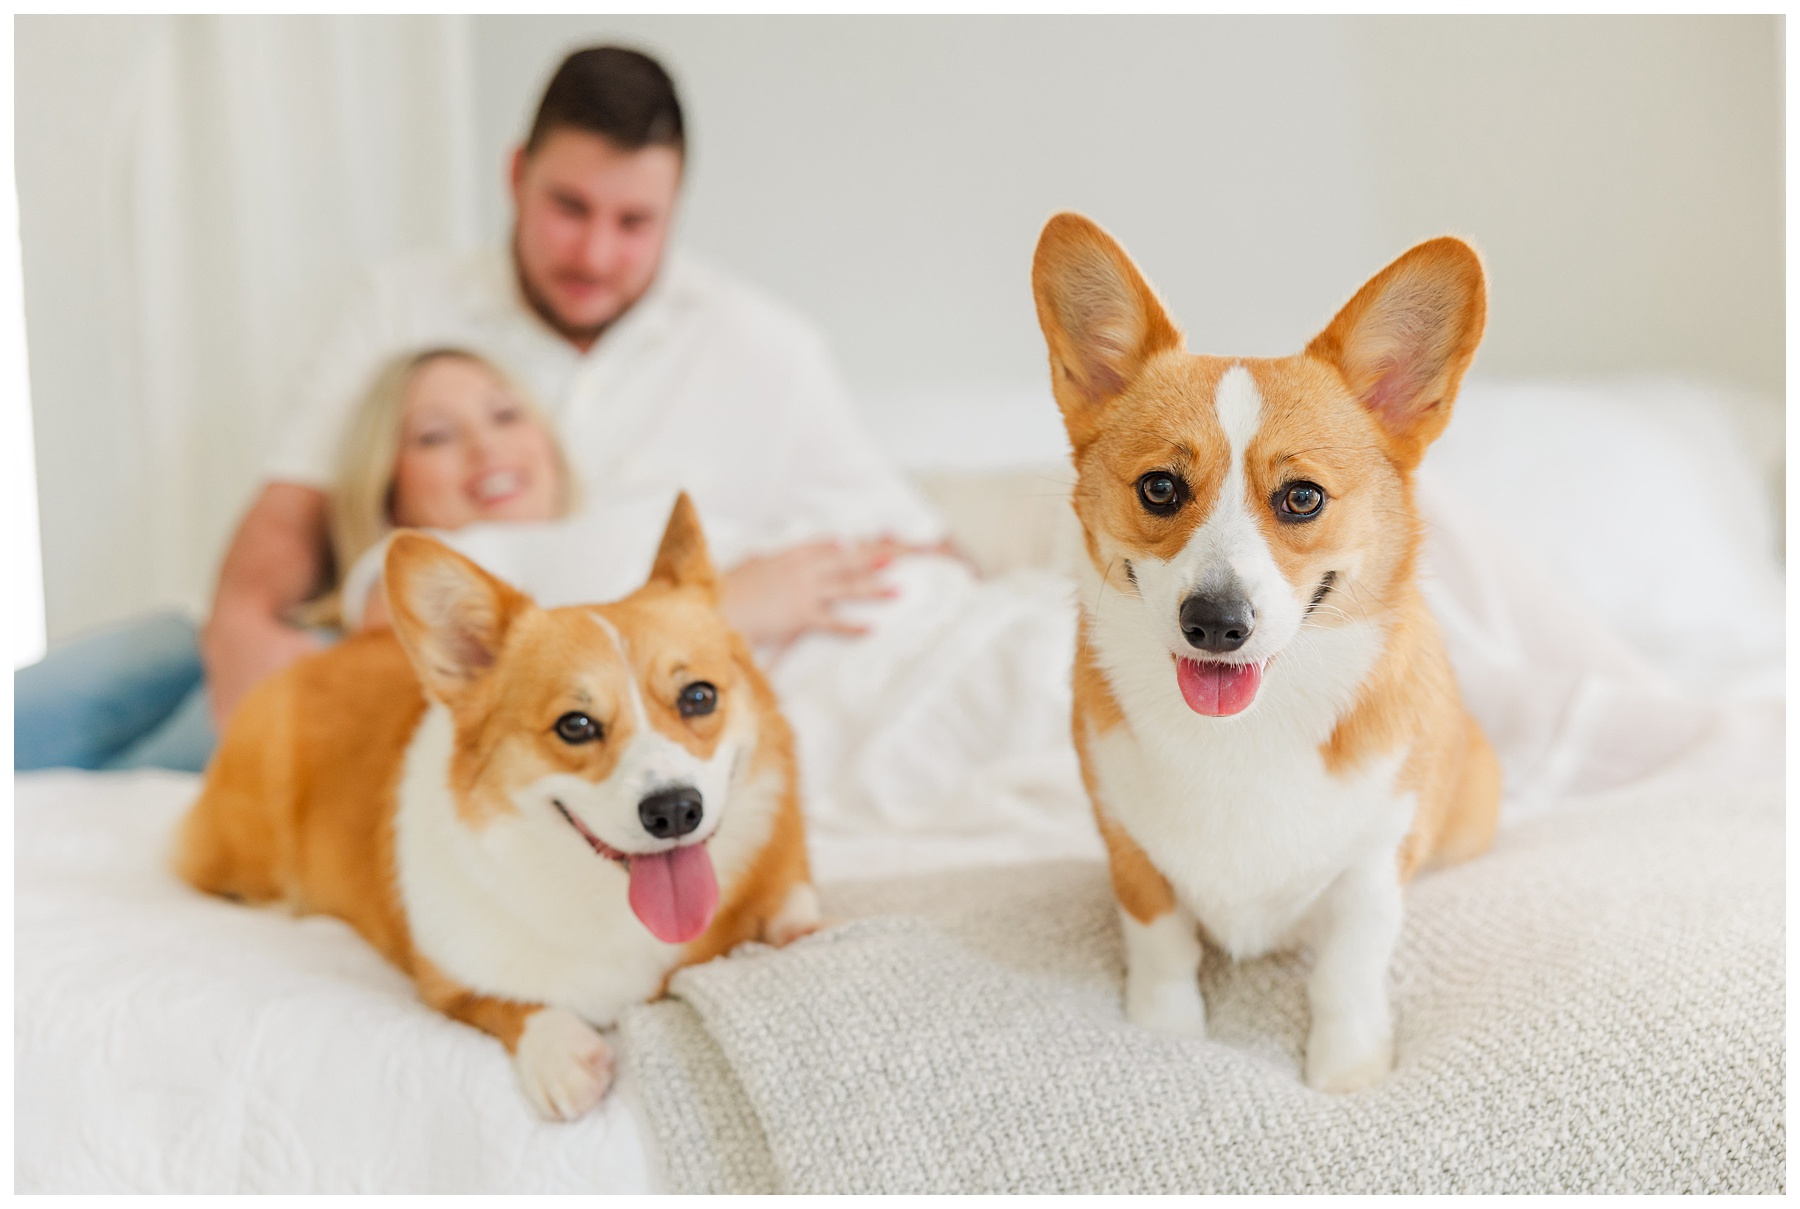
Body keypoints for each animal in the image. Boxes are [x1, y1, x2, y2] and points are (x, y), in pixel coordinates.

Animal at [171, 496, 820, 1122]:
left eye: (699, 697)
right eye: (575, 725)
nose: (675, 811)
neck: (606, 902)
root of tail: (299, 665)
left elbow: (794, 905)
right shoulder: (445, 984)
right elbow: (508, 1002)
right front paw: (565, 1057)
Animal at [1029, 217, 1504, 1093]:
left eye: (1302, 497)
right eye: (1159, 488)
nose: (1217, 623)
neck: (1240, 736)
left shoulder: (1374, 864)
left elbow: (1346, 972)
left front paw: (1349, 1070)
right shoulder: (1127, 844)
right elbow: (1161, 944)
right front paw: (1166, 1034)